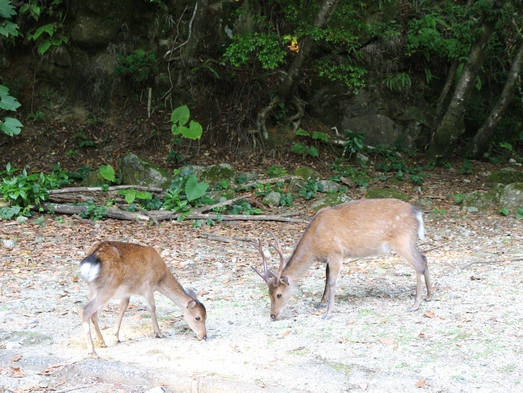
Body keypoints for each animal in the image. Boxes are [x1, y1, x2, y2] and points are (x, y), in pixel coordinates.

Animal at [252, 199, 436, 318]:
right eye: (268, 293)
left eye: (279, 295)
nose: (273, 315)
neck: (314, 246)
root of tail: (418, 213)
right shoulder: (328, 257)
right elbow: (326, 279)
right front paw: (320, 303)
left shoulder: (336, 253)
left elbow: (332, 282)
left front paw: (328, 313)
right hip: (408, 241)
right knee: (424, 257)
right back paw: (429, 296)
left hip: (401, 240)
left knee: (419, 264)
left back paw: (415, 304)